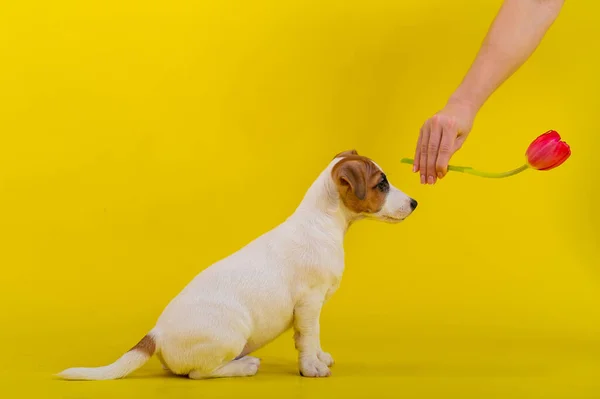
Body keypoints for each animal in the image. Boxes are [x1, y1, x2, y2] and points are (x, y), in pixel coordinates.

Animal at [59, 150, 418, 382]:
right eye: (381, 184)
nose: (414, 203)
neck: (323, 222)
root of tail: (156, 334)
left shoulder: (308, 309)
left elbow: (307, 339)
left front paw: (317, 358)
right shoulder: (309, 303)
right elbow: (309, 337)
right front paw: (312, 367)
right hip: (233, 332)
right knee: (198, 373)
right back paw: (243, 366)